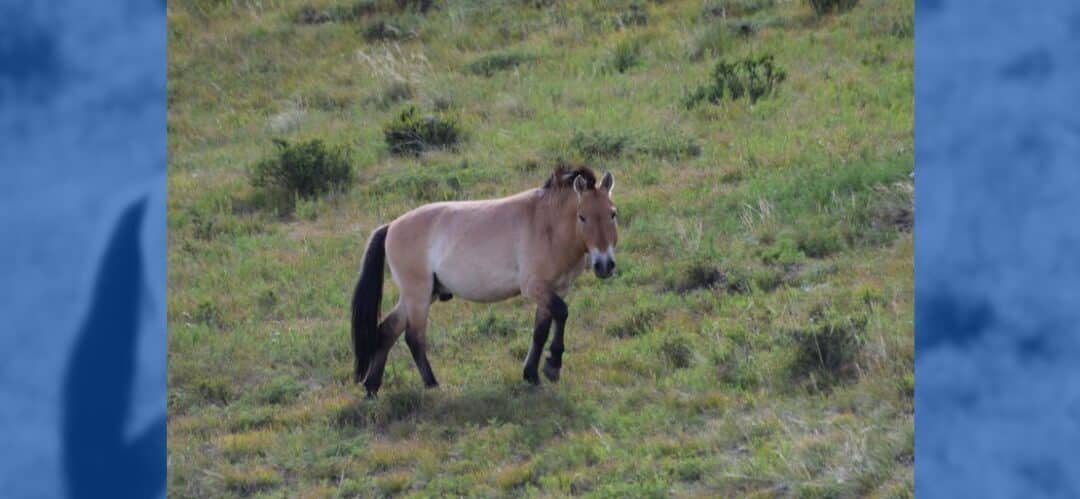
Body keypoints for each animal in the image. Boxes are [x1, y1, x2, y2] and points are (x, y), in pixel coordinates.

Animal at [350, 166, 618, 397]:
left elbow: (540, 331)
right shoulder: (534, 288)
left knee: (387, 330)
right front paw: (552, 366)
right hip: (418, 295)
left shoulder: (554, 289)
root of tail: (391, 226)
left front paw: (532, 375)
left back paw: (372, 388)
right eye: (582, 217)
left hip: (419, 295)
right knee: (413, 338)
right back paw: (432, 385)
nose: (604, 265)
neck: (547, 225)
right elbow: (562, 313)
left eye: (612, 214)